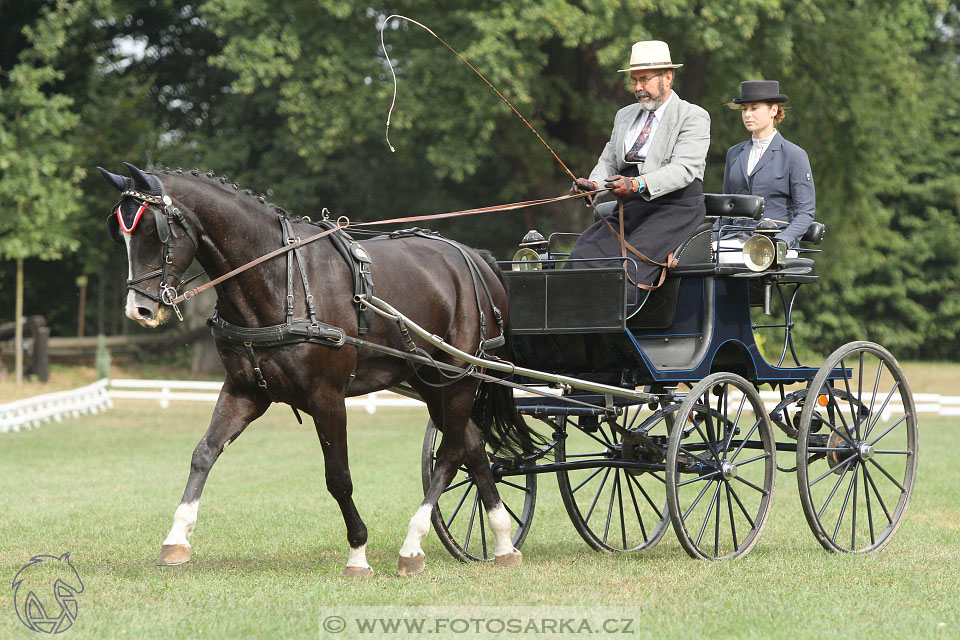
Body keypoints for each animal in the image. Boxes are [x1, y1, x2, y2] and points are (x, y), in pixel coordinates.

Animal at [101, 164, 544, 576]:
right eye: (120, 232)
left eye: (154, 231)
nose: (139, 310)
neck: (278, 277)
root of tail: (477, 259)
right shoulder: (245, 390)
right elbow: (203, 453)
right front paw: (176, 539)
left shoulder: (327, 398)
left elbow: (338, 477)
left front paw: (358, 553)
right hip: (431, 380)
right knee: (472, 446)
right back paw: (503, 542)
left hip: (459, 377)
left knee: (451, 451)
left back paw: (413, 544)